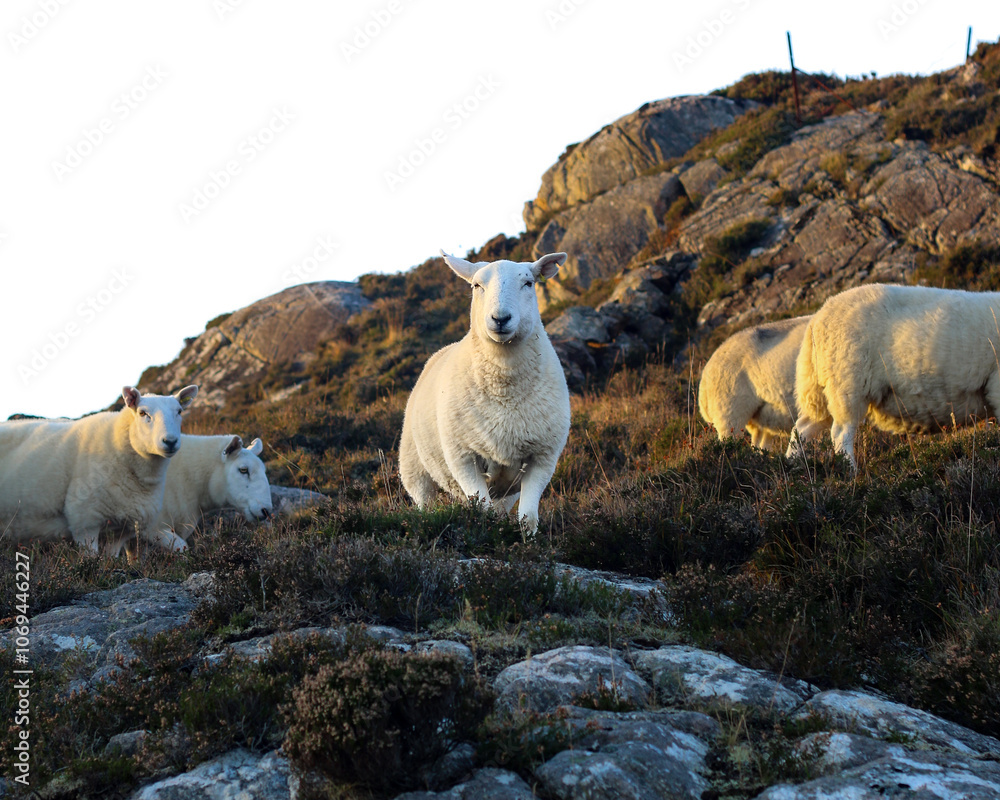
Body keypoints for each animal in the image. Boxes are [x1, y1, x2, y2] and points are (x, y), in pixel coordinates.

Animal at [399, 249, 571, 534]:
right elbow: (484, 511)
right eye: (476, 286)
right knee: (424, 499)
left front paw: (529, 541)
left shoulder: (543, 458)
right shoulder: (462, 458)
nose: (500, 319)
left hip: (508, 486)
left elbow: (528, 517)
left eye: (529, 283)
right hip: (414, 466)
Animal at [786, 283, 1000, 470]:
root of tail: (818, 318)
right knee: (841, 433)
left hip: (821, 388)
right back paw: (850, 470)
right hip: (847, 383)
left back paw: (792, 464)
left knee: (802, 428)